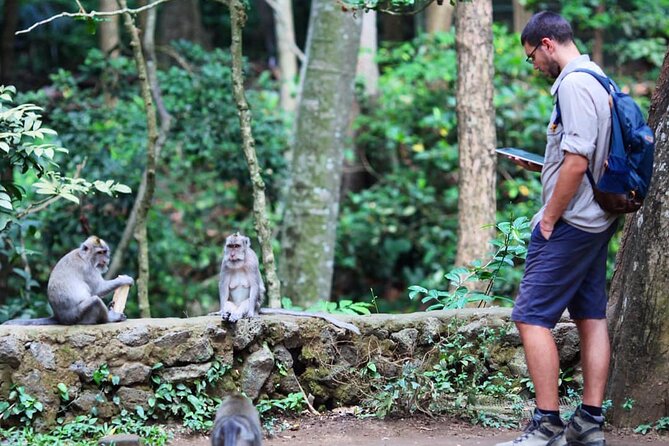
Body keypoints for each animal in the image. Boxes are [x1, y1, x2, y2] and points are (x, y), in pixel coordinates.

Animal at [3, 237, 134, 324]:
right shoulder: (88, 269)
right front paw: (125, 280)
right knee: (95, 300)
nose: (105, 260)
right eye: (99, 252)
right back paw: (110, 318)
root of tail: (59, 318)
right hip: (78, 316)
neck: (84, 256)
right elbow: (98, 289)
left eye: (105, 252)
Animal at [215, 233, 360, 334]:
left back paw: (237, 315)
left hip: (255, 305)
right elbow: (223, 286)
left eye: (237, 246)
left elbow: (255, 286)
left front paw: (250, 313)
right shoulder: (224, 263)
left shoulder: (252, 261)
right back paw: (227, 314)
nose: (232, 254)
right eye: (230, 246)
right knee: (228, 304)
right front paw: (221, 311)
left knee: (248, 301)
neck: (239, 263)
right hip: (232, 304)